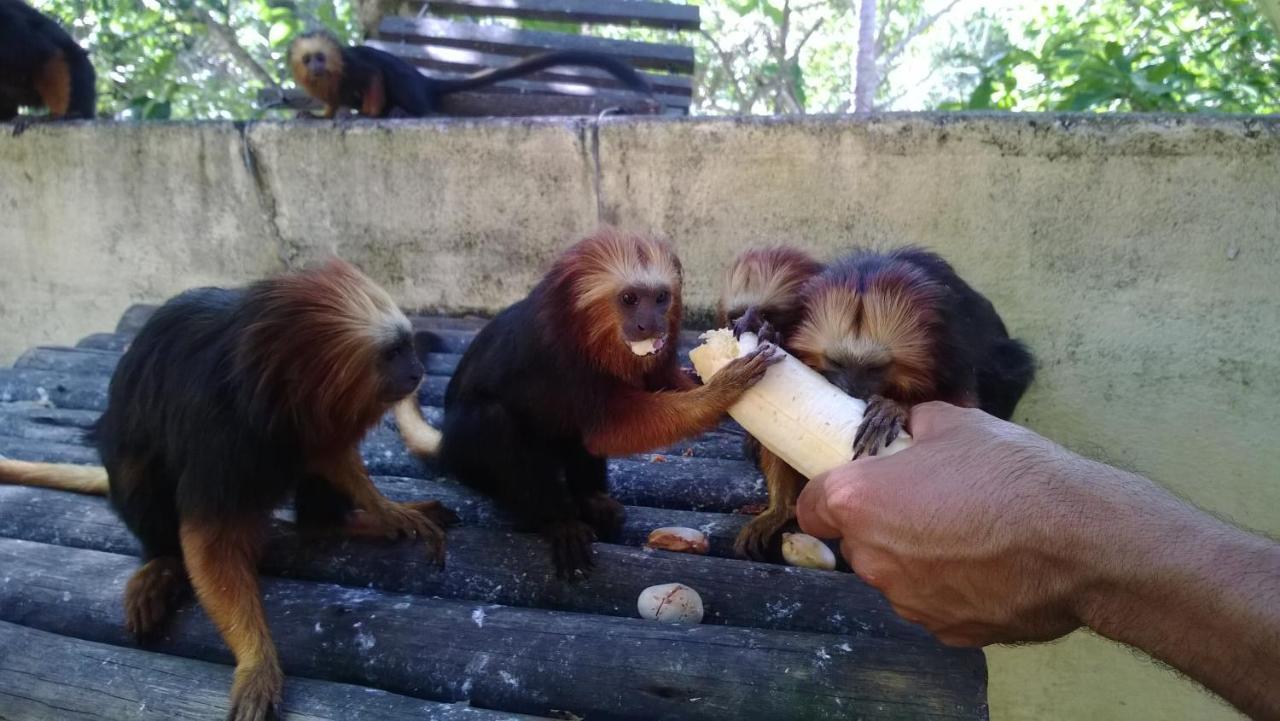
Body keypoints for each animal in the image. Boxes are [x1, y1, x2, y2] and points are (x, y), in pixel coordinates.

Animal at [0, 259, 458, 721]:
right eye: (393, 353)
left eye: (408, 348)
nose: (416, 372)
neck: (274, 385)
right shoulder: (217, 424)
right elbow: (209, 539)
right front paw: (257, 661)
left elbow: (326, 451)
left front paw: (388, 512)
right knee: (136, 467)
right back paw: (163, 562)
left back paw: (330, 524)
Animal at [396, 227, 778, 578]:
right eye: (629, 299)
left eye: (660, 298)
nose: (651, 324)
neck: (589, 334)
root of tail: (447, 447)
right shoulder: (562, 358)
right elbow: (610, 427)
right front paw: (723, 390)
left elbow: (654, 388)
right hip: (471, 460)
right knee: (492, 419)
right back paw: (555, 520)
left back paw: (589, 498)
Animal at [727, 245, 1034, 560]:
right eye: (837, 362)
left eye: (875, 369)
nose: (852, 390)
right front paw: (778, 510)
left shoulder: (953, 353)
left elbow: (962, 411)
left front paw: (894, 408)